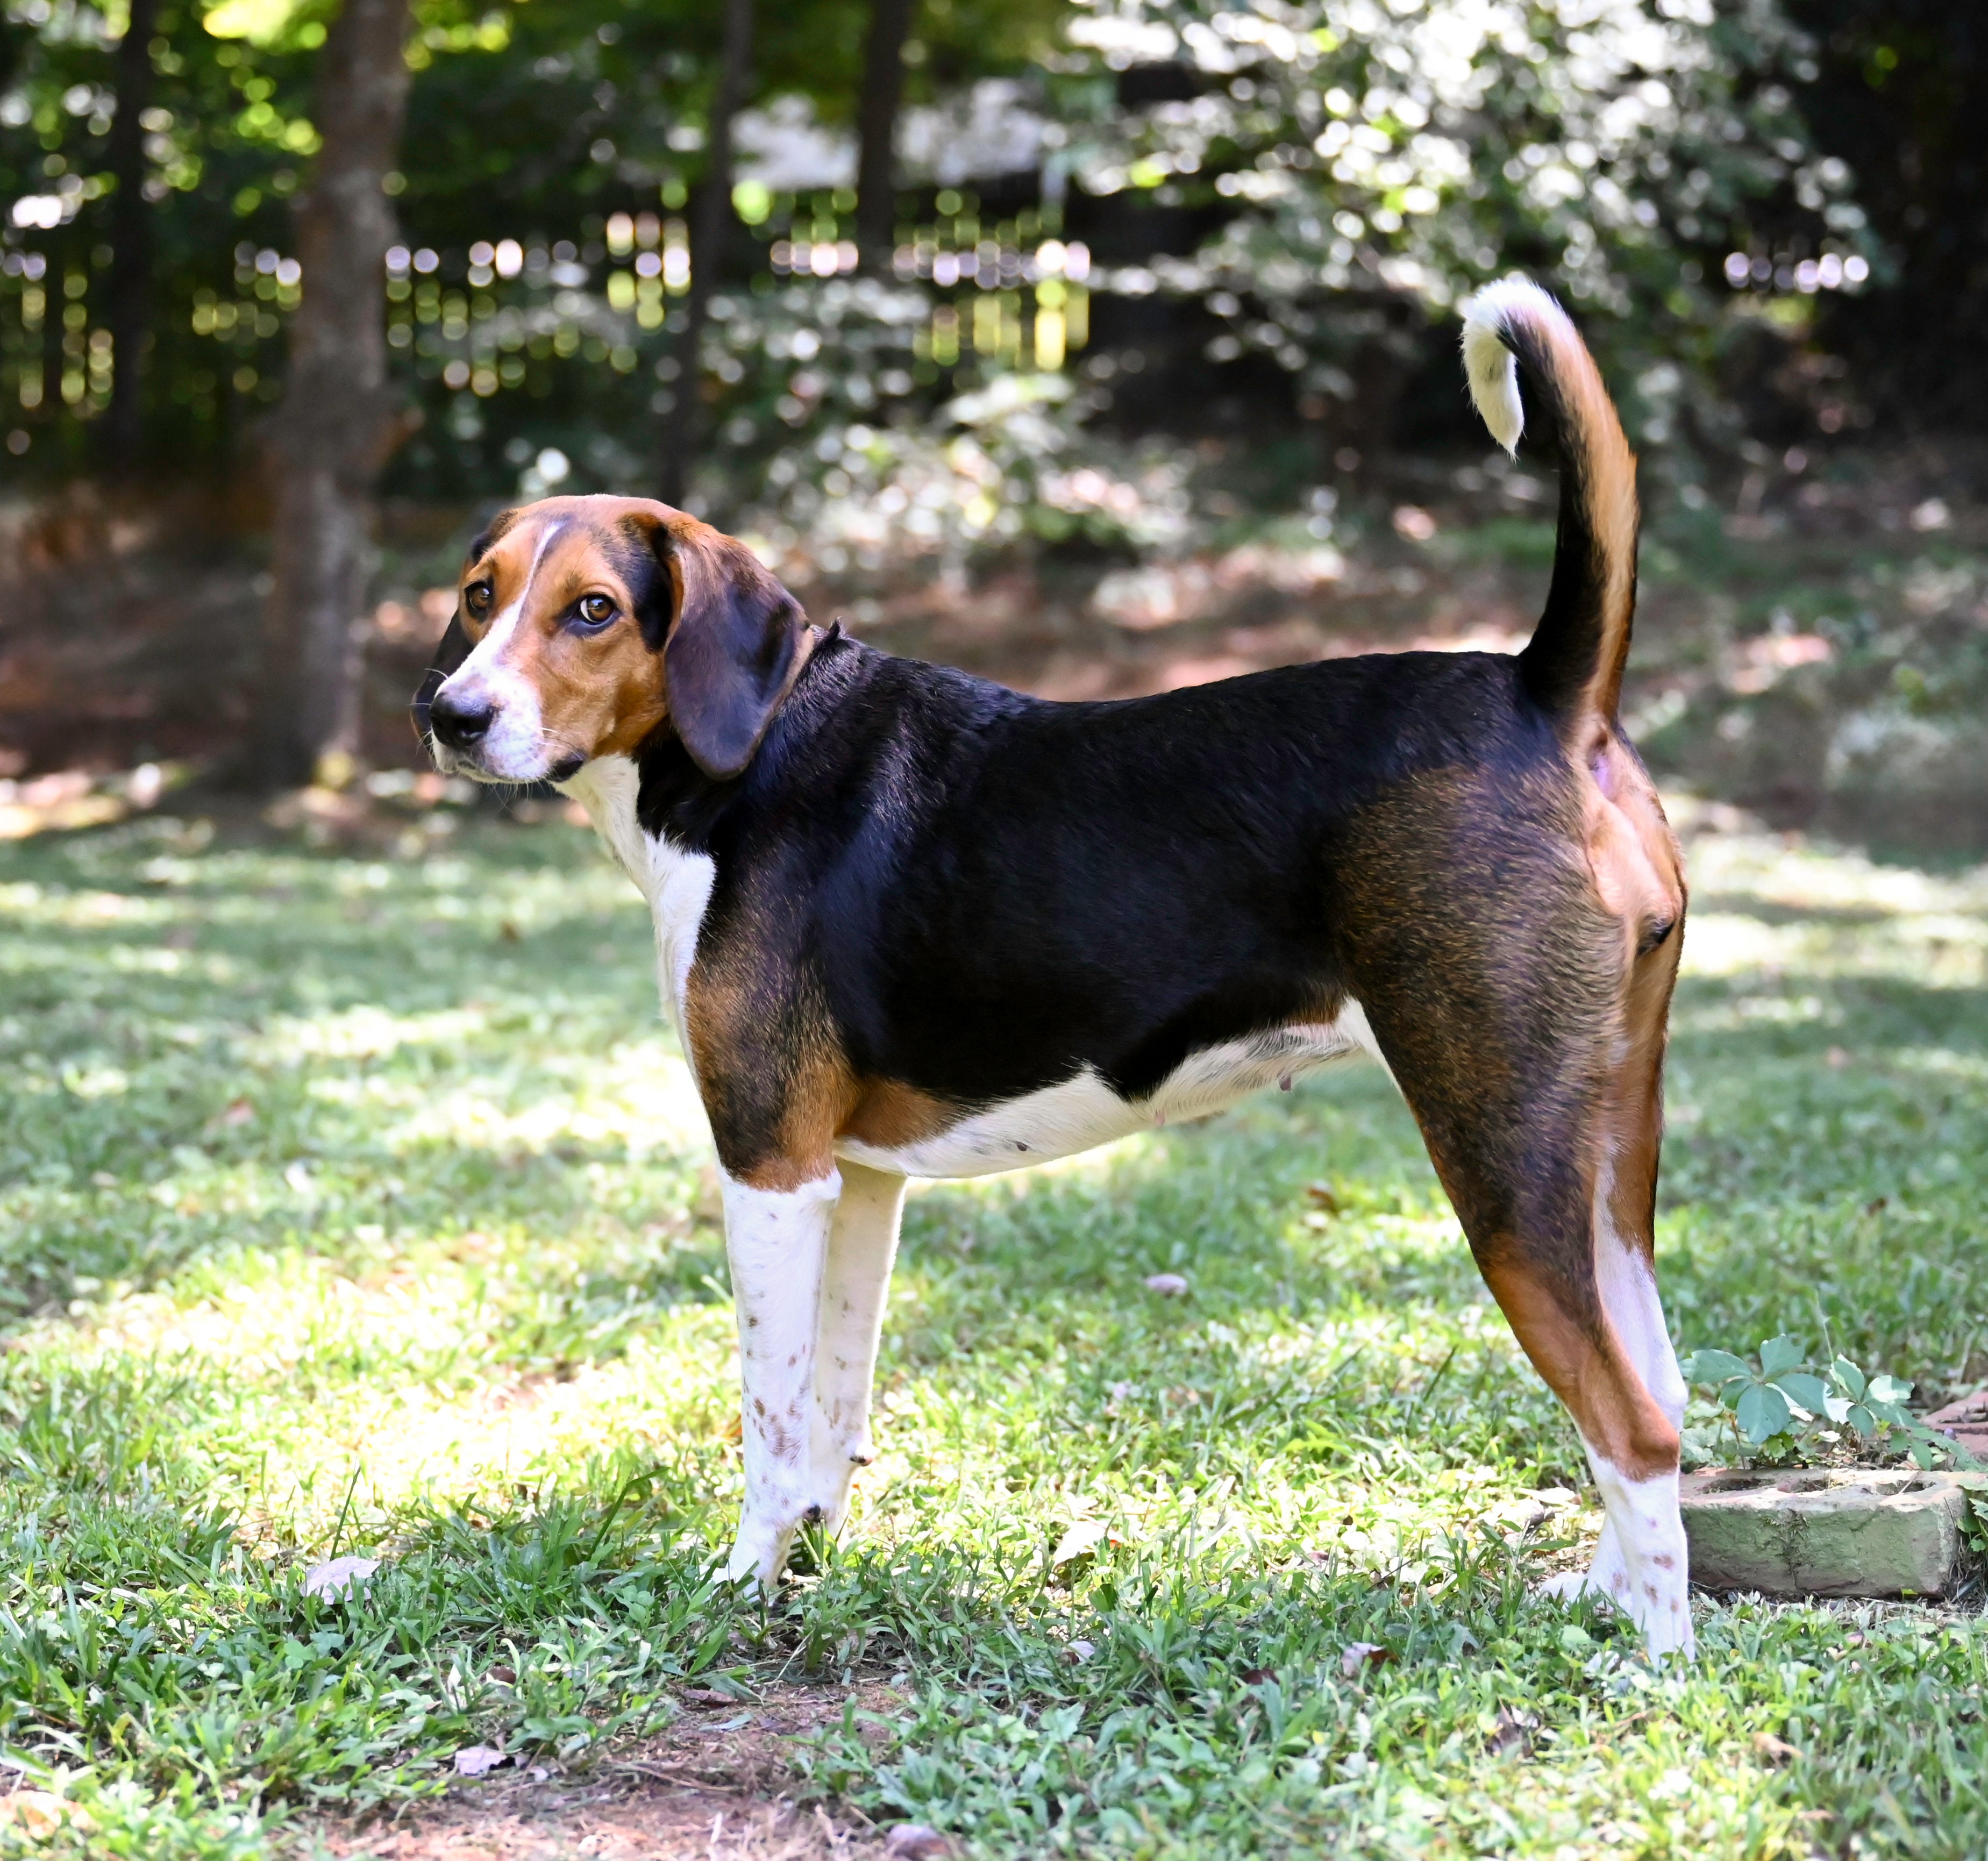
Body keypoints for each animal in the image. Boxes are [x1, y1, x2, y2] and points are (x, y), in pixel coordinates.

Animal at [415, 280, 1693, 1654]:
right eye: (481, 595)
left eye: (594, 608)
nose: (452, 715)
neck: (750, 754)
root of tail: (1539, 689)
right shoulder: (857, 1181)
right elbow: (832, 1409)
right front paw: (816, 1563)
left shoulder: (769, 1169)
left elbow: (771, 1416)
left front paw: (748, 1579)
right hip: (1607, 1157)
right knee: (1660, 1394)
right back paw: (1610, 1600)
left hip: (1498, 1155)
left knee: (1632, 1420)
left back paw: (1656, 1669)